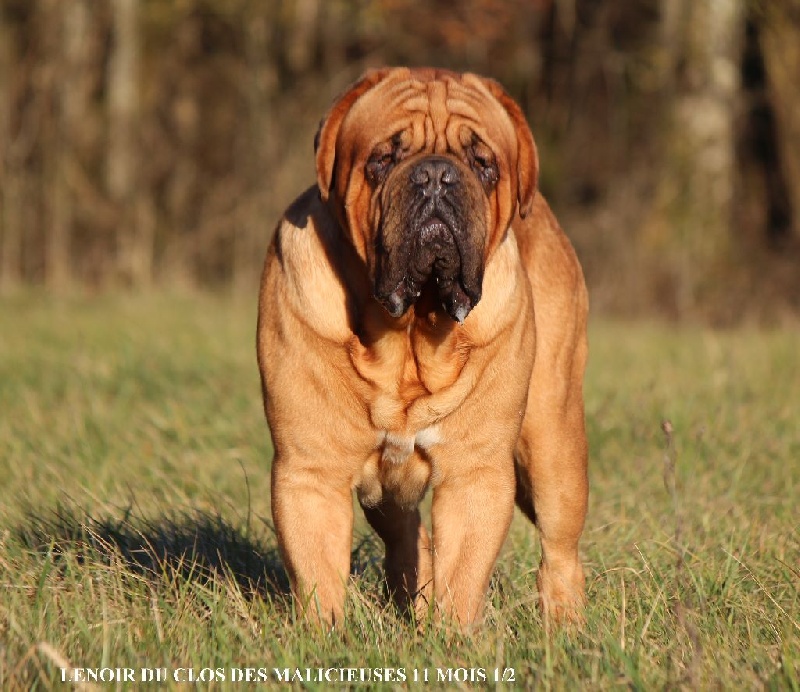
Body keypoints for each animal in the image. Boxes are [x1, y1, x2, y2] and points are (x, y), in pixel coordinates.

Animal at [256, 67, 588, 628]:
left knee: (560, 549)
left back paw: (564, 627)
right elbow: (319, 576)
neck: (408, 333)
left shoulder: (475, 473)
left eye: (483, 163)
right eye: (383, 159)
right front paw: (324, 637)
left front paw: (451, 638)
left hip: (553, 440)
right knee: (408, 536)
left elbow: (464, 576)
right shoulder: (310, 470)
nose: (435, 176)